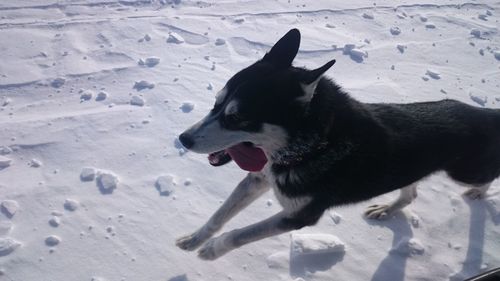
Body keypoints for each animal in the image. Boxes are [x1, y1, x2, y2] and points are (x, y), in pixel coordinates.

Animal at [176, 27, 500, 258]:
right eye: (216, 103)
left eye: (237, 118)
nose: (183, 139)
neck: (313, 146)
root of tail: (487, 113)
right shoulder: (258, 178)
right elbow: (220, 215)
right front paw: (195, 239)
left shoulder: (300, 216)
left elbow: (241, 233)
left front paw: (212, 249)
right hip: (412, 169)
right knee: (410, 194)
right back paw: (387, 209)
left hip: (464, 172)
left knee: (487, 176)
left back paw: (477, 193)